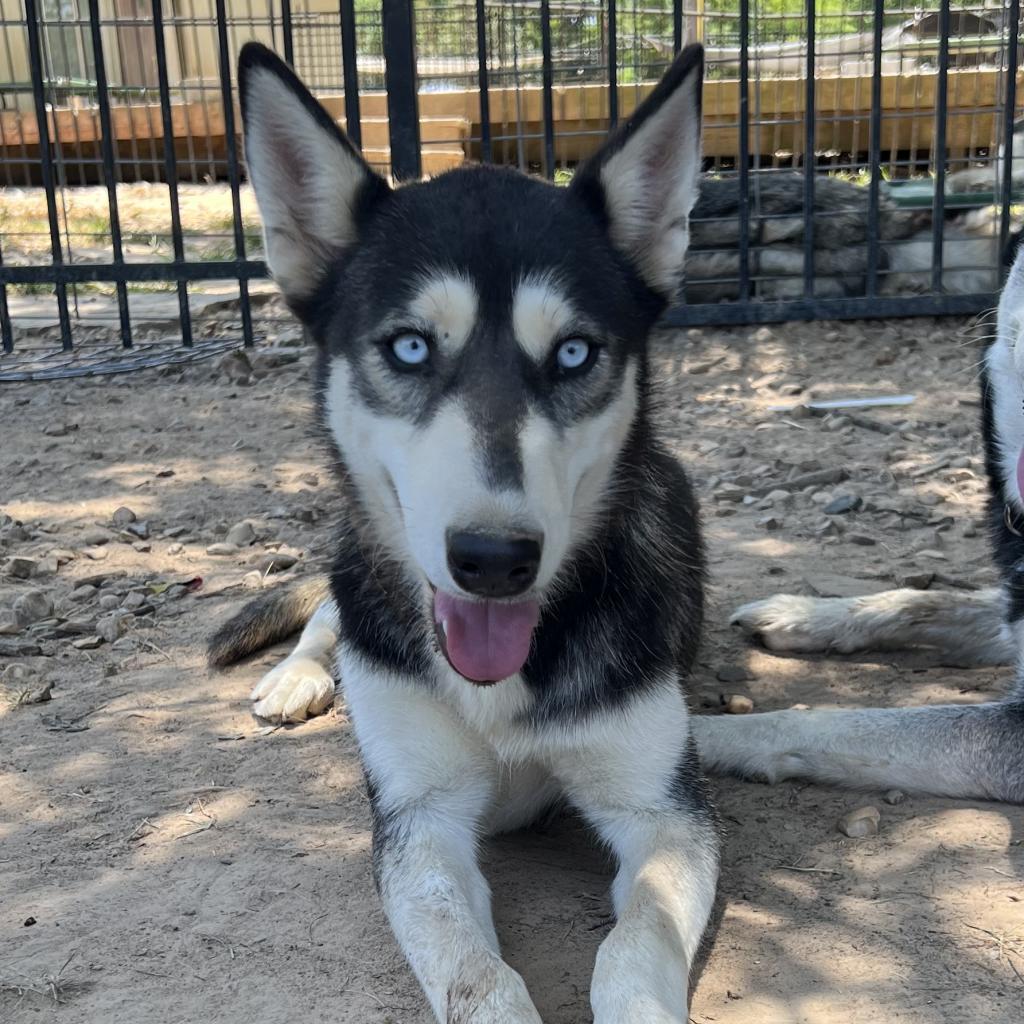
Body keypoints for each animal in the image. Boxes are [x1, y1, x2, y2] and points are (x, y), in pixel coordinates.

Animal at [211, 41, 716, 1024]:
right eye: (410, 347)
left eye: (573, 353)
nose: (493, 561)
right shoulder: (420, 817)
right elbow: (473, 973)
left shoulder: (665, 815)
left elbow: (635, 945)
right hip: (356, 588)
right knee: (329, 615)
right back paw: (297, 678)